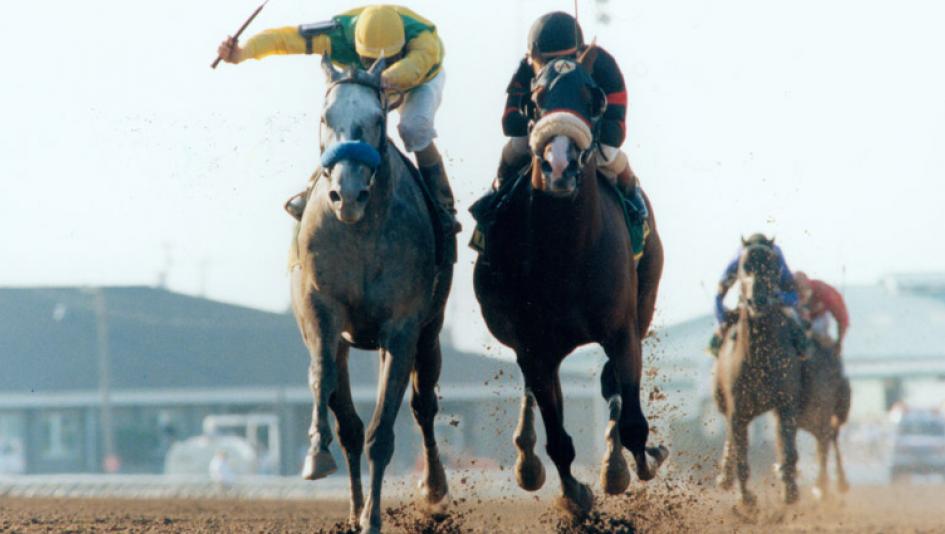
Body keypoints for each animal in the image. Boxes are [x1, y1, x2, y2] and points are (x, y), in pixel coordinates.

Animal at [288, 55, 454, 534]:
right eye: (325, 118)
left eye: (378, 118)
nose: (347, 194)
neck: (360, 231)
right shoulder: (321, 311)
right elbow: (324, 380)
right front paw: (316, 454)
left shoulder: (402, 328)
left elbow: (384, 430)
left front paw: (374, 518)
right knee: (349, 425)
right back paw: (351, 503)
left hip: (430, 331)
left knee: (423, 406)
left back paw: (432, 487)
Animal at [470, 49, 664, 516]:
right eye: (536, 98)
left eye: (594, 97)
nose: (558, 166)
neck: (565, 252)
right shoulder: (534, 346)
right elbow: (558, 438)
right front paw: (575, 495)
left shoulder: (622, 330)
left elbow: (632, 420)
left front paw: (636, 463)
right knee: (533, 390)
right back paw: (526, 460)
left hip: (644, 304)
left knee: (613, 386)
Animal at [716, 240, 804, 510]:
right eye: (744, 266)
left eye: (773, 267)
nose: (759, 299)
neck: (759, 357)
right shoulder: (737, 410)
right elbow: (741, 458)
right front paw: (746, 500)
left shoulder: (786, 403)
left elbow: (787, 448)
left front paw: (789, 489)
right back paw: (725, 476)